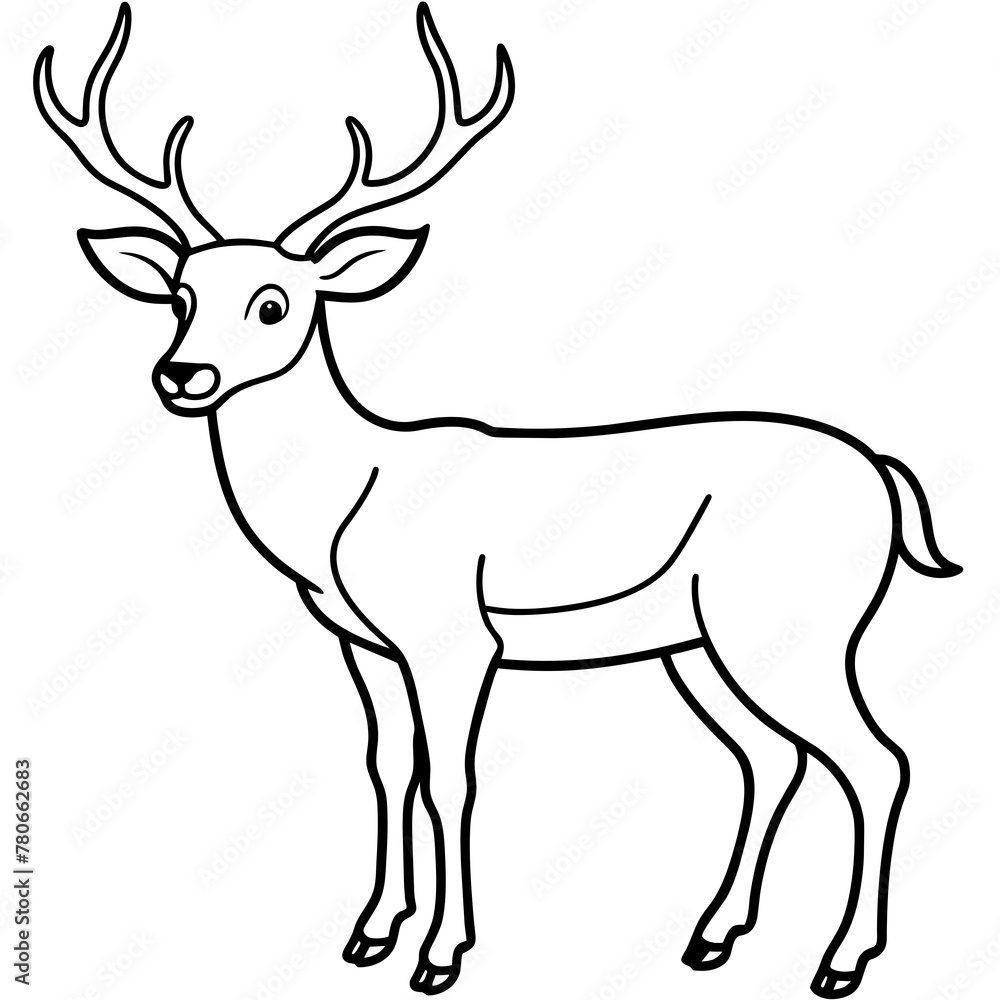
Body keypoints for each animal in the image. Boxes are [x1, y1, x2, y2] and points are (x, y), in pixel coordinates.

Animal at [35, 4, 961, 996]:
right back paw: (713, 936)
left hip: (797, 622)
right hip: (702, 642)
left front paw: (440, 955)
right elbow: (388, 768)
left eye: (275, 303)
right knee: (772, 756)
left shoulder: (454, 633)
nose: (182, 375)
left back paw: (842, 961)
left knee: (878, 760)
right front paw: (370, 933)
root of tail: (885, 474)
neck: (347, 507)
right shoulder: (365, 642)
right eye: (179, 294)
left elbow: (452, 780)